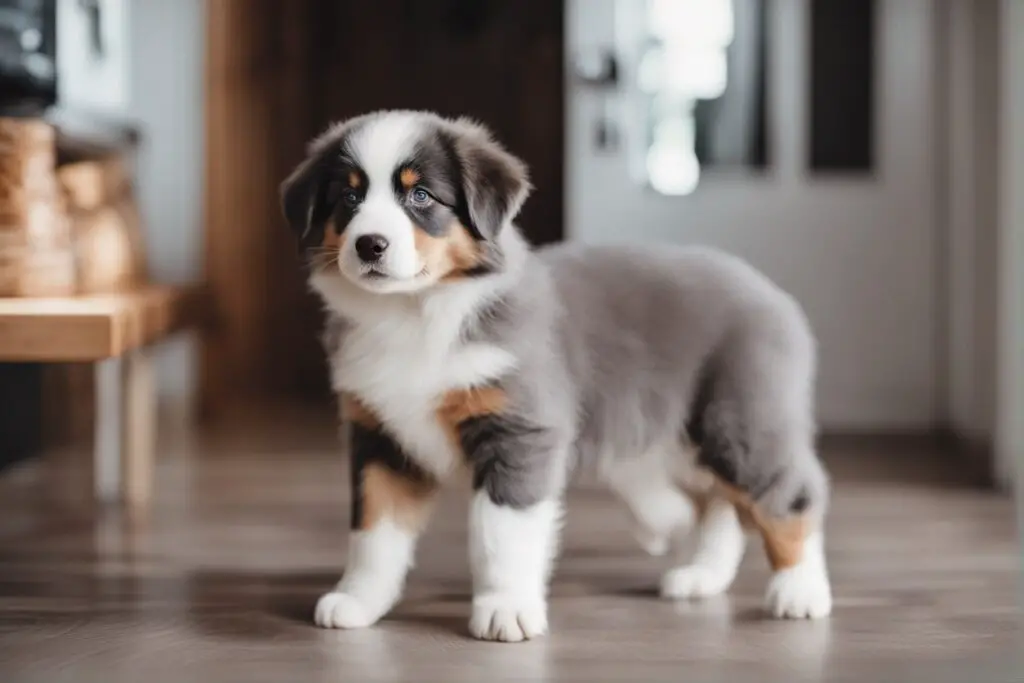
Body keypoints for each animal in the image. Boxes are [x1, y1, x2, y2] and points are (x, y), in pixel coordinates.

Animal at [278, 109, 831, 643]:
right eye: (349, 196)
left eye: (420, 195)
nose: (369, 245)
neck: (413, 313)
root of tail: (769, 290)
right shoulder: (380, 437)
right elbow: (374, 532)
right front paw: (358, 600)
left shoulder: (519, 430)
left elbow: (500, 533)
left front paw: (505, 610)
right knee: (715, 503)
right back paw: (701, 575)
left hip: (739, 420)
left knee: (788, 495)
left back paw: (799, 591)